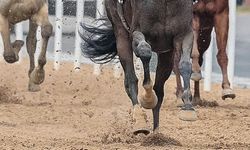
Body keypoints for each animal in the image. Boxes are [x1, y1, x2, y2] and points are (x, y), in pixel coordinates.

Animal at [81, 0, 196, 134]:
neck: (164, 2)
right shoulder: (137, 32)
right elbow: (145, 52)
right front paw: (148, 98)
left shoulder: (184, 34)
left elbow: (185, 65)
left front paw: (188, 107)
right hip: (121, 34)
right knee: (130, 79)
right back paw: (139, 118)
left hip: (166, 55)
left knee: (159, 90)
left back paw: (156, 132)